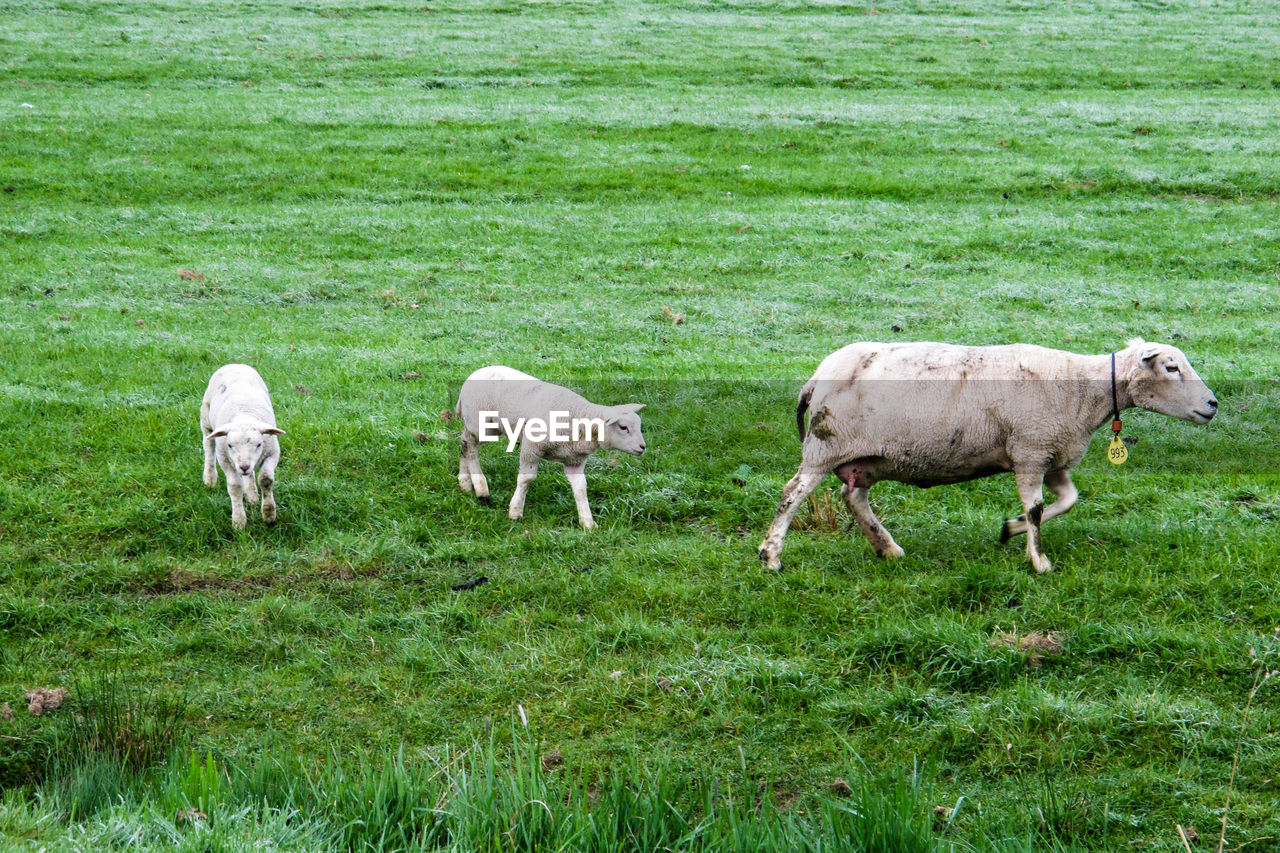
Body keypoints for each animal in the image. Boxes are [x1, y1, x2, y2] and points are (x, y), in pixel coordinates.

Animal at [199, 363, 285, 527]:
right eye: (230, 445)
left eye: (259, 444)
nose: (244, 466)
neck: (244, 414)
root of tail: (234, 364)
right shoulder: (225, 460)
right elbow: (235, 487)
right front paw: (239, 521)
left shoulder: (272, 453)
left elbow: (266, 479)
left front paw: (269, 514)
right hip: (206, 419)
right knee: (208, 447)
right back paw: (210, 478)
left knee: (249, 475)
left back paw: (252, 494)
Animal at [455, 363, 645, 525]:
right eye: (623, 427)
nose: (643, 447)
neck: (579, 419)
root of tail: (470, 378)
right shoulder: (531, 448)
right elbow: (526, 479)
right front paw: (515, 511)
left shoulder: (575, 460)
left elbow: (581, 488)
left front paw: (588, 523)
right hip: (481, 424)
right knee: (470, 447)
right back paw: (481, 489)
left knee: (464, 443)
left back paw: (465, 484)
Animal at [757, 338, 1218, 571]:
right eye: (1172, 367)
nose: (1213, 405)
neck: (1083, 388)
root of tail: (815, 377)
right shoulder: (1030, 451)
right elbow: (1037, 509)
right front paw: (1038, 560)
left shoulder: (1050, 455)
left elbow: (1068, 501)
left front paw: (1009, 529)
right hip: (825, 445)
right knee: (792, 493)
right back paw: (770, 556)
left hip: (864, 459)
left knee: (852, 496)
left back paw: (887, 548)